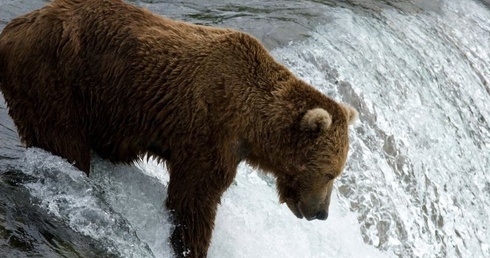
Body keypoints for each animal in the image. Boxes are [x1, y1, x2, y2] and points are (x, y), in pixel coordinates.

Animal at [0, 1, 358, 256]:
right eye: (330, 173)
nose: (322, 213)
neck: (251, 122)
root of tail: (13, 29)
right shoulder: (208, 134)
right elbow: (193, 199)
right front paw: (191, 245)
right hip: (54, 80)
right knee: (63, 142)